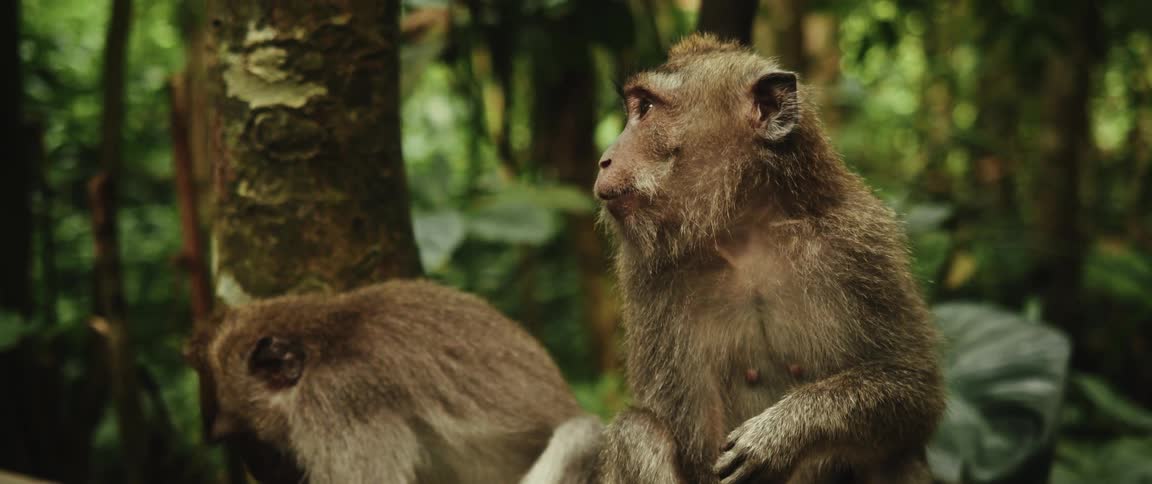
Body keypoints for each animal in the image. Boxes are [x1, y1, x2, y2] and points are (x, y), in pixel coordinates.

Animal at [593, 34, 945, 484]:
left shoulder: (862, 243)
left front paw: (781, 433)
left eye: (647, 109)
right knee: (635, 430)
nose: (604, 158)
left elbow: (915, 389)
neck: (744, 230)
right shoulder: (647, 272)